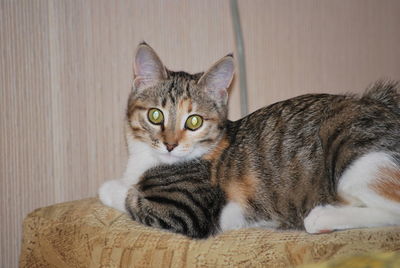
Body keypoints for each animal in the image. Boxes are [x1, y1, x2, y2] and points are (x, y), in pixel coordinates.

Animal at [99, 42, 400, 239]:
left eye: (194, 121)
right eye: (155, 115)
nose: (170, 145)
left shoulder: (190, 212)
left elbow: (133, 197)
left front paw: (110, 187)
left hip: (354, 154)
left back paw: (322, 217)